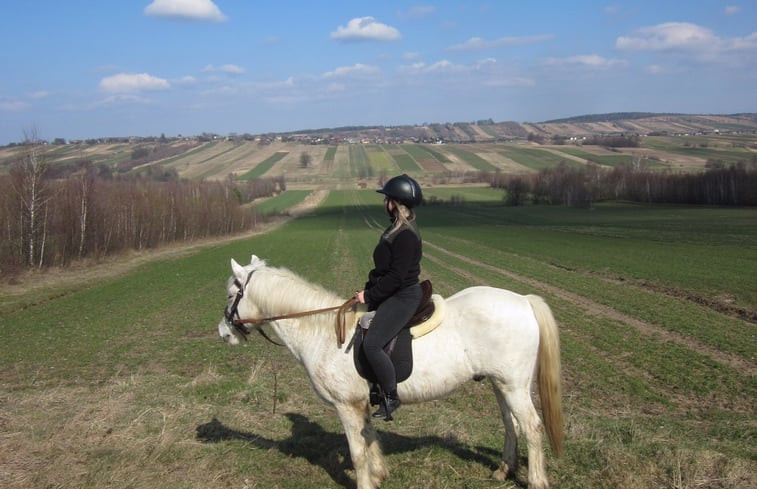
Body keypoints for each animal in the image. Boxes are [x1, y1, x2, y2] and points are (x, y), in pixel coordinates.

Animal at [217, 255, 560, 488]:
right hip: (500, 384)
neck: (324, 331)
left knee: (531, 427)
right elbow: (369, 439)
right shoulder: (362, 403)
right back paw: (503, 470)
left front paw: (366, 482)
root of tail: (523, 301)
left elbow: (357, 452)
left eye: (232, 294)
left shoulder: (346, 406)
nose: (223, 333)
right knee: (511, 425)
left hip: (513, 386)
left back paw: (536, 481)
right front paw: (379, 474)